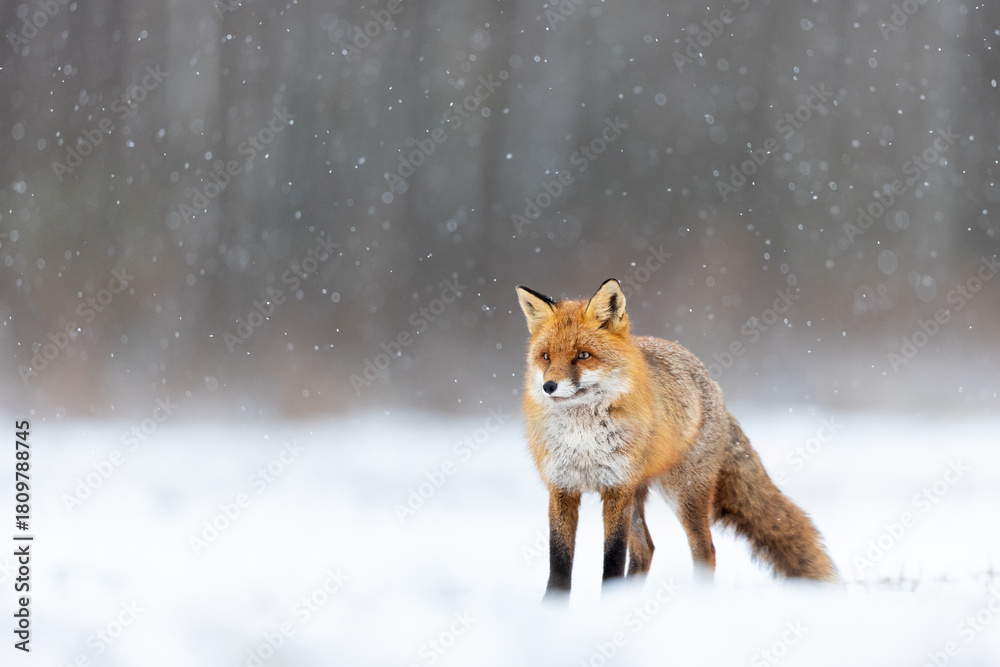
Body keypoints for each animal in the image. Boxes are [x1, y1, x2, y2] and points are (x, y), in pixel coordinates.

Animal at [516, 278, 838, 594]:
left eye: (583, 355)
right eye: (546, 357)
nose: (549, 386)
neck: (582, 437)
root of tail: (712, 384)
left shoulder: (617, 488)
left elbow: (613, 558)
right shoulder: (562, 487)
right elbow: (559, 563)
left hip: (683, 494)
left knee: (705, 551)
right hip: (640, 496)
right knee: (646, 550)